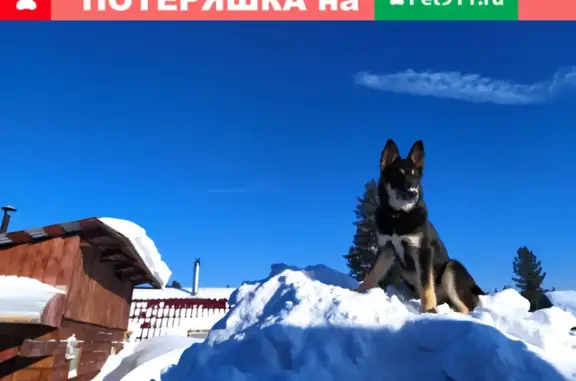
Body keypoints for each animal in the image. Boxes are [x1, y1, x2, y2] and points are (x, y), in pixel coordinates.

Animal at [358, 139, 484, 312]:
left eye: (415, 175)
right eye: (399, 173)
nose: (413, 192)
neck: (398, 215)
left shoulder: (423, 251)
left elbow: (426, 285)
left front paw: (429, 310)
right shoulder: (386, 249)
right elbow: (371, 274)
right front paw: (356, 293)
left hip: (451, 269)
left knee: (465, 308)